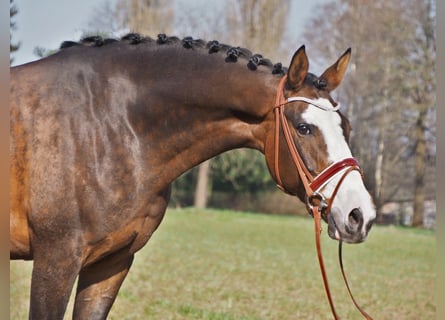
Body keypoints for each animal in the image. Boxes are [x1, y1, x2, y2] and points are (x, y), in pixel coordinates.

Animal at [9, 33, 374, 318]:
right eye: (303, 127)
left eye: (346, 126)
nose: (361, 215)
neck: (107, 123)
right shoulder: (56, 262)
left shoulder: (111, 264)